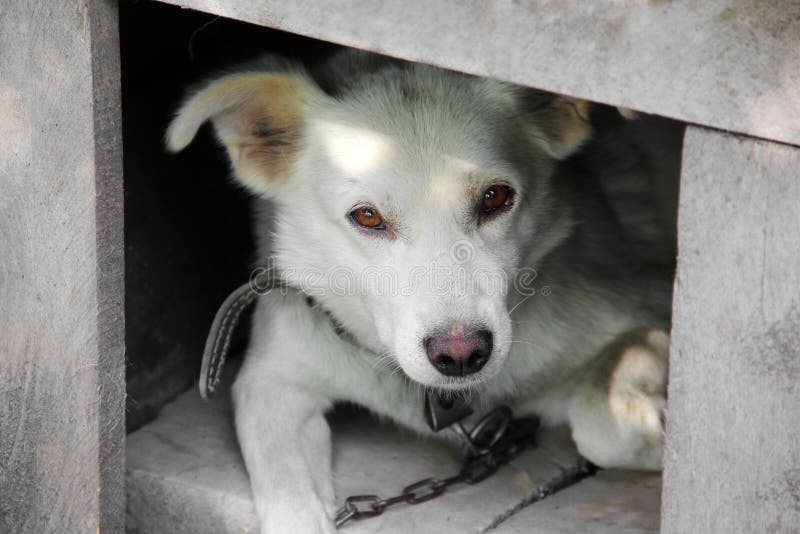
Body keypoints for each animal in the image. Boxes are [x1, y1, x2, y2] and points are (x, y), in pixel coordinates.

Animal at [167, 51, 676, 534]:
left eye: (495, 197)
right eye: (367, 216)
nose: (461, 355)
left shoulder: (651, 309)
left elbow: (602, 423)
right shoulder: (271, 381)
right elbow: (285, 490)